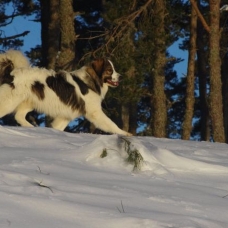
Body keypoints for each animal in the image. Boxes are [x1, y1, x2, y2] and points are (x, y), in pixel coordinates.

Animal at [0, 50, 132, 135]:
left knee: (19, 116)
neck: (91, 79)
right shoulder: (94, 112)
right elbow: (111, 124)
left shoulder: (66, 115)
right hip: (9, 102)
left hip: (29, 102)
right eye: (110, 70)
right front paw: (125, 134)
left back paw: (31, 128)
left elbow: (58, 127)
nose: (121, 77)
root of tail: (11, 73)